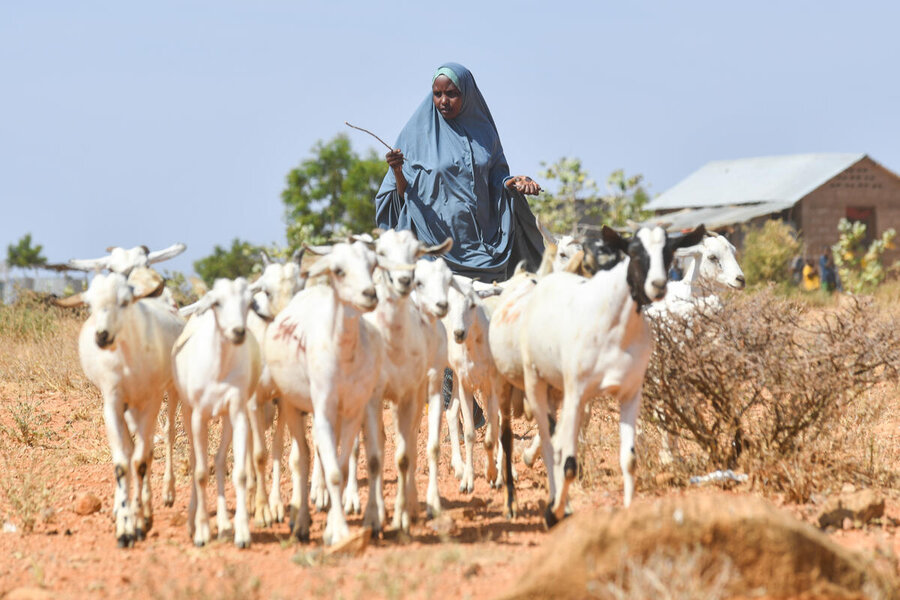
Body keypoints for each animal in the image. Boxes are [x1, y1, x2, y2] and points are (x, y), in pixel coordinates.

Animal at [55, 270, 183, 548]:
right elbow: (123, 463)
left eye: (124, 302)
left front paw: (139, 521)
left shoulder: (151, 400)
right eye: (90, 305)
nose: (102, 336)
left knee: (166, 436)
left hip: (171, 391)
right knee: (135, 448)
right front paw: (125, 526)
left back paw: (166, 495)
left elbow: (141, 461)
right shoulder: (113, 402)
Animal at [171, 278, 260, 548]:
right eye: (217, 303)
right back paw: (193, 522)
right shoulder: (199, 416)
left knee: (220, 461)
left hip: (226, 418)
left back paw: (224, 523)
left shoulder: (238, 412)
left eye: (248, 303)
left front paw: (242, 533)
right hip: (188, 412)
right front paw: (201, 532)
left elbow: (239, 473)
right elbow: (200, 472)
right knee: (195, 459)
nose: (238, 332)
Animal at [264, 239, 384, 544]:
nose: (369, 294)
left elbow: (341, 467)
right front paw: (338, 531)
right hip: (292, 406)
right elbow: (329, 470)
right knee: (302, 458)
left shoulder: (352, 410)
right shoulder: (322, 410)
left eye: (372, 265)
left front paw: (334, 523)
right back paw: (301, 522)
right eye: (339, 270)